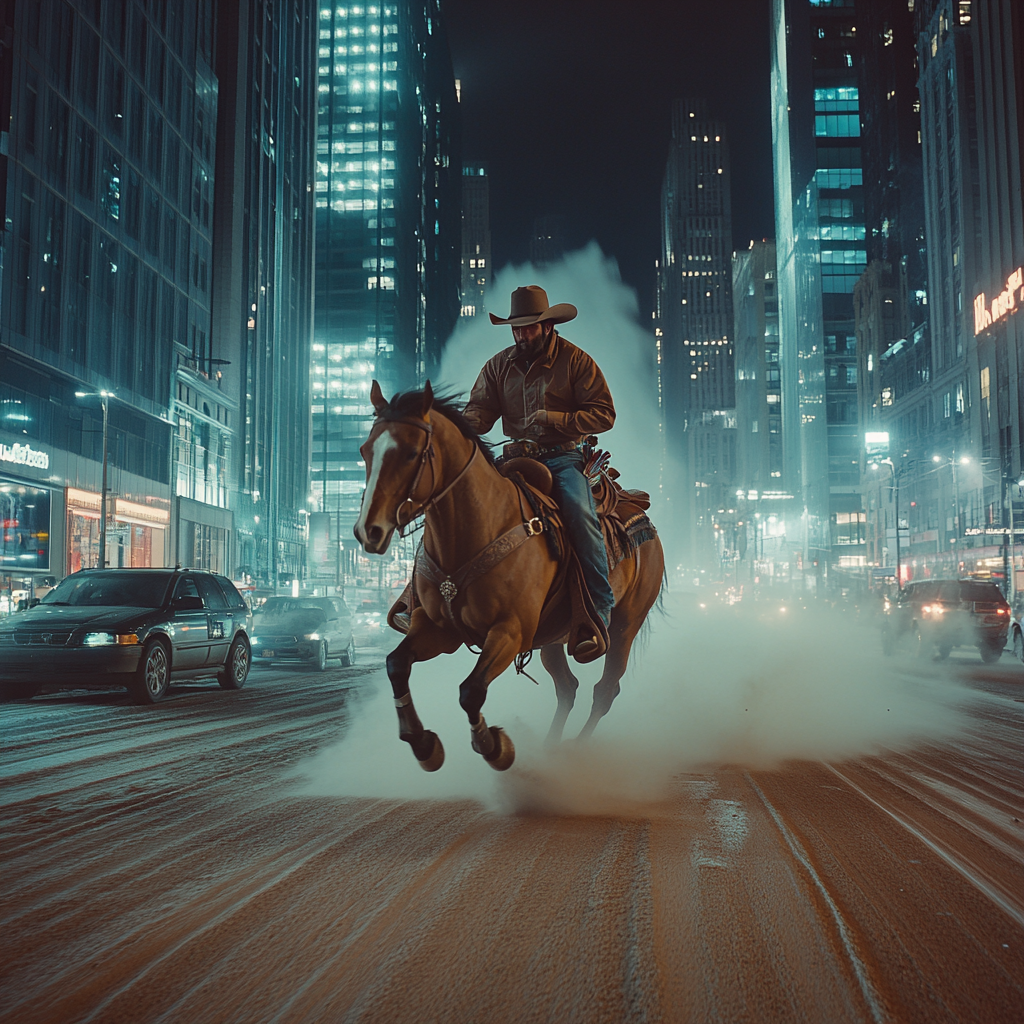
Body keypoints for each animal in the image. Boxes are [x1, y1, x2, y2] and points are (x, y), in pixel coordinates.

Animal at [356, 380, 667, 770]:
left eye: (412, 452)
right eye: (365, 450)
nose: (369, 530)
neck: (477, 527)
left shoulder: (509, 632)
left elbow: (471, 690)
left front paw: (494, 746)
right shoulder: (436, 629)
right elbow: (396, 664)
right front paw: (423, 744)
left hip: (626, 625)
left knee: (606, 689)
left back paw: (576, 749)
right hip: (553, 636)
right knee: (567, 687)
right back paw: (548, 748)